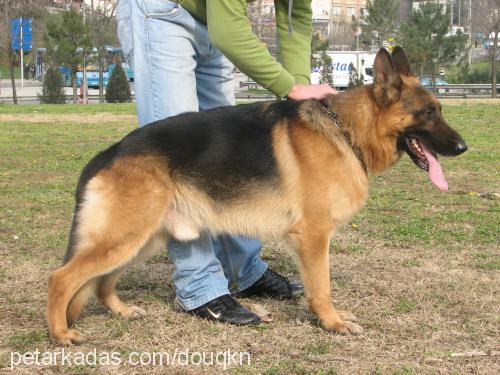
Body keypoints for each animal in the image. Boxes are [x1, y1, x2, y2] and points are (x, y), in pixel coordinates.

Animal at [47, 47, 468, 346]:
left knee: (102, 282)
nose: (464, 147)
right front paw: (330, 323)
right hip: (125, 237)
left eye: (440, 109)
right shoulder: (313, 237)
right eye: (428, 113)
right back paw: (61, 334)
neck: (346, 132)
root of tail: (110, 152)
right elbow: (322, 286)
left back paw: (120, 311)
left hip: (142, 239)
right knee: (63, 278)